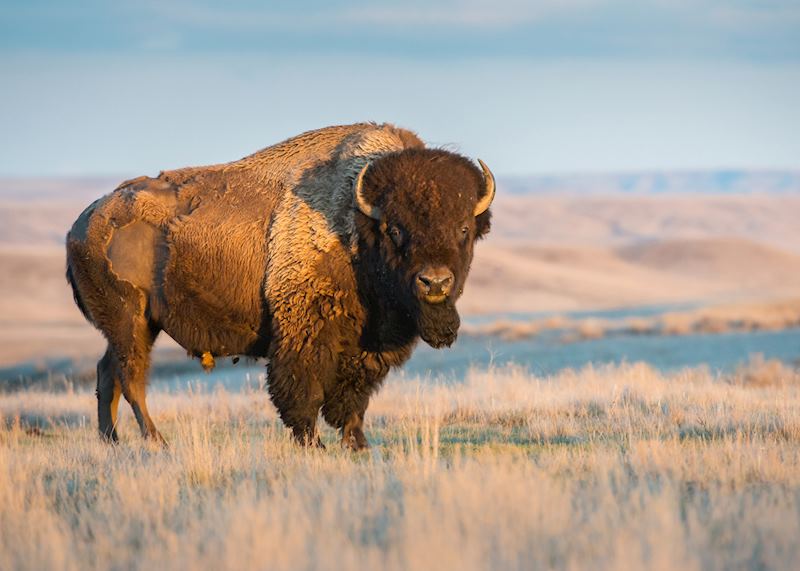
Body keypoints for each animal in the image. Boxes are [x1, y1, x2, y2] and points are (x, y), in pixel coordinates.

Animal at [66, 123, 494, 449]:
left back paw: (112, 441)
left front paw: (357, 444)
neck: (356, 223)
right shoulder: (304, 331)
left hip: (135, 326)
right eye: (394, 229)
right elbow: (303, 390)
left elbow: (354, 397)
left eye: (464, 229)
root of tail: (83, 223)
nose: (435, 282)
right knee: (131, 377)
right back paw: (156, 441)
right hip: (131, 321)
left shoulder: (367, 347)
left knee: (107, 373)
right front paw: (314, 444)